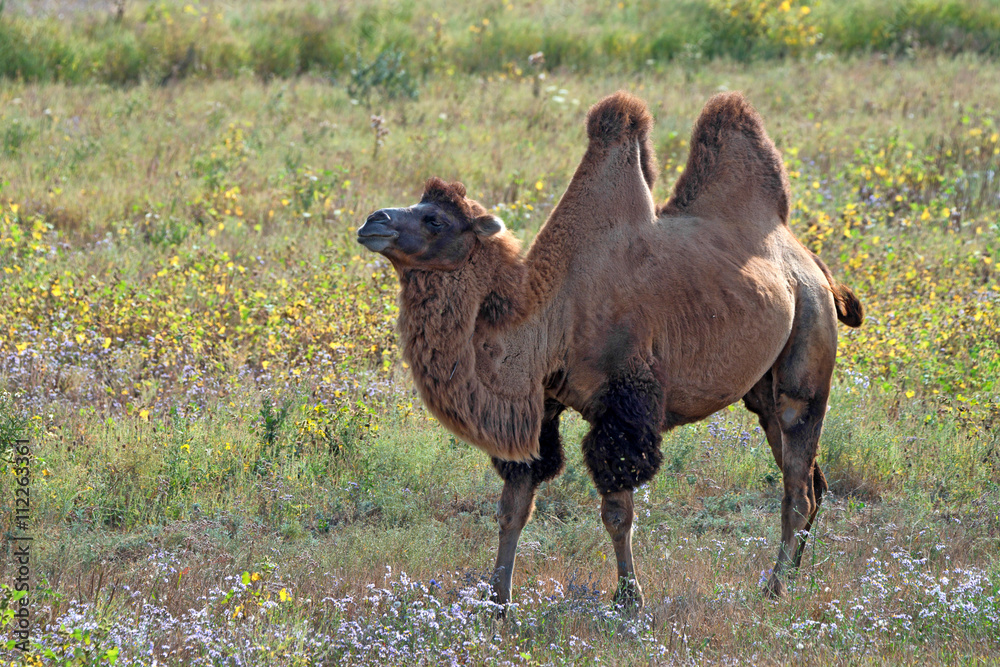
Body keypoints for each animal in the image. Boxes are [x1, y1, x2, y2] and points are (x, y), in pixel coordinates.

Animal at [357, 90, 863, 609]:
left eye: (434, 219)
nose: (373, 221)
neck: (551, 315)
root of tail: (812, 263)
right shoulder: (541, 404)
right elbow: (513, 506)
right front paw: (497, 603)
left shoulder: (624, 405)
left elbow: (617, 513)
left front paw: (628, 601)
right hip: (761, 385)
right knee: (811, 480)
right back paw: (793, 576)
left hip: (809, 338)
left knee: (798, 480)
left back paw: (775, 587)